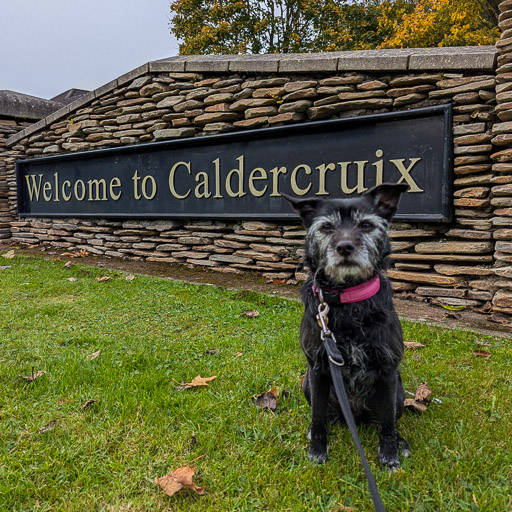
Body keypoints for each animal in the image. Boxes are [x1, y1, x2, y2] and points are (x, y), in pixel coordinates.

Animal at [286, 184, 410, 472]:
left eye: (366, 224)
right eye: (326, 227)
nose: (345, 247)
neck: (347, 299)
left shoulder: (388, 370)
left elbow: (388, 424)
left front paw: (390, 454)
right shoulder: (317, 370)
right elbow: (318, 417)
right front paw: (317, 450)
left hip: (399, 393)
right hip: (306, 383)